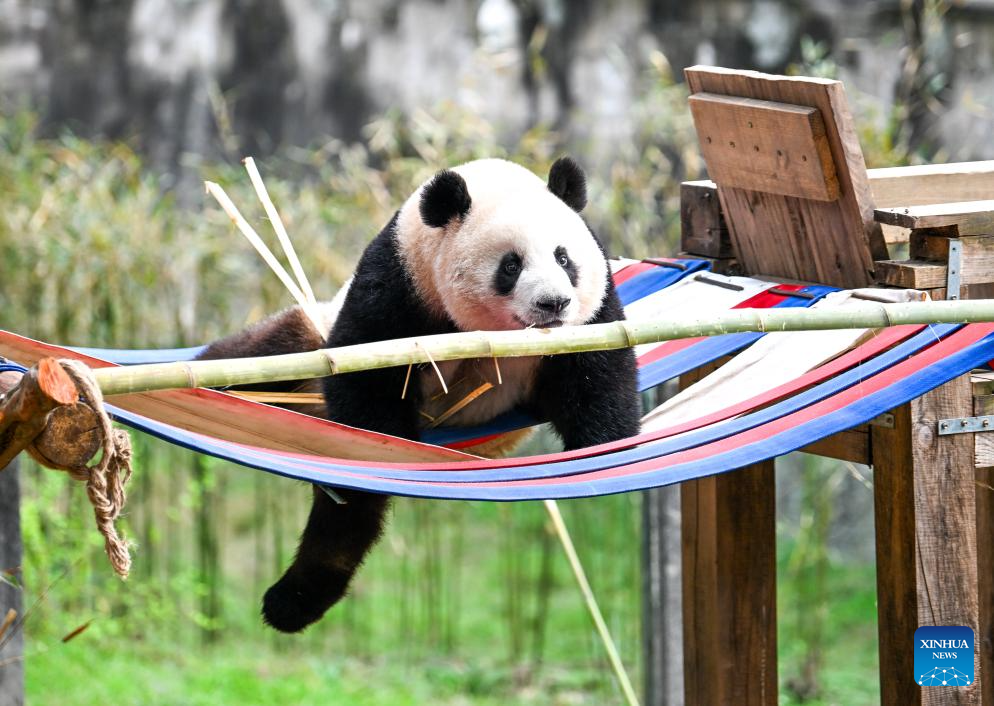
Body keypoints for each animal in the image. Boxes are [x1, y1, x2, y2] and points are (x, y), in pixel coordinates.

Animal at [197, 157, 641, 633]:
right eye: (511, 265)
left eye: (564, 257)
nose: (554, 304)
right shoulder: (399, 285)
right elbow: (366, 382)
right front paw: (387, 449)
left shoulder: (594, 315)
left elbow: (598, 380)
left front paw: (602, 455)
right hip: (303, 342)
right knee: (262, 358)